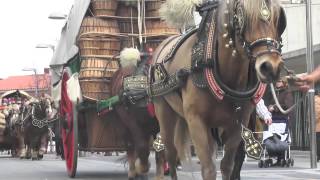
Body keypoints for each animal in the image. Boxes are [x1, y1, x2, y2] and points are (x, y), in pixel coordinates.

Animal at [151, 0, 286, 179]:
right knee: (170, 154)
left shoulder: (237, 125)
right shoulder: (196, 121)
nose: (271, 67)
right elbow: (208, 168)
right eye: (243, 15)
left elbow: (227, 165)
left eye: (279, 18)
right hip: (164, 113)